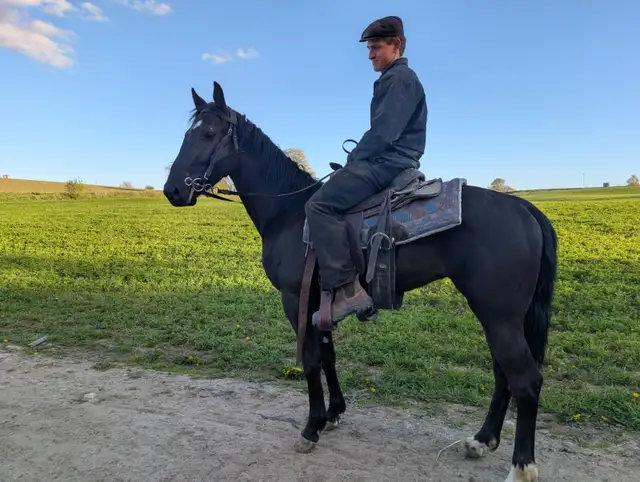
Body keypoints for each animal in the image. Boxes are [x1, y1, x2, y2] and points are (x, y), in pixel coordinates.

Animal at [163, 81, 558, 482]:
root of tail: (524, 207)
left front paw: (311, 427)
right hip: (503, 318)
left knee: (525, 380)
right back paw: (481, 440)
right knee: (503, 374)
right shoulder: (323, 300)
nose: (173, 191)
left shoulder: (295, 299)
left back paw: (521, 466)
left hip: (499, 316)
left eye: (208, 135)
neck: (290, 215)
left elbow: (310, 361)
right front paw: (334, 413)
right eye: (187, 135)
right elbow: (328, 356)